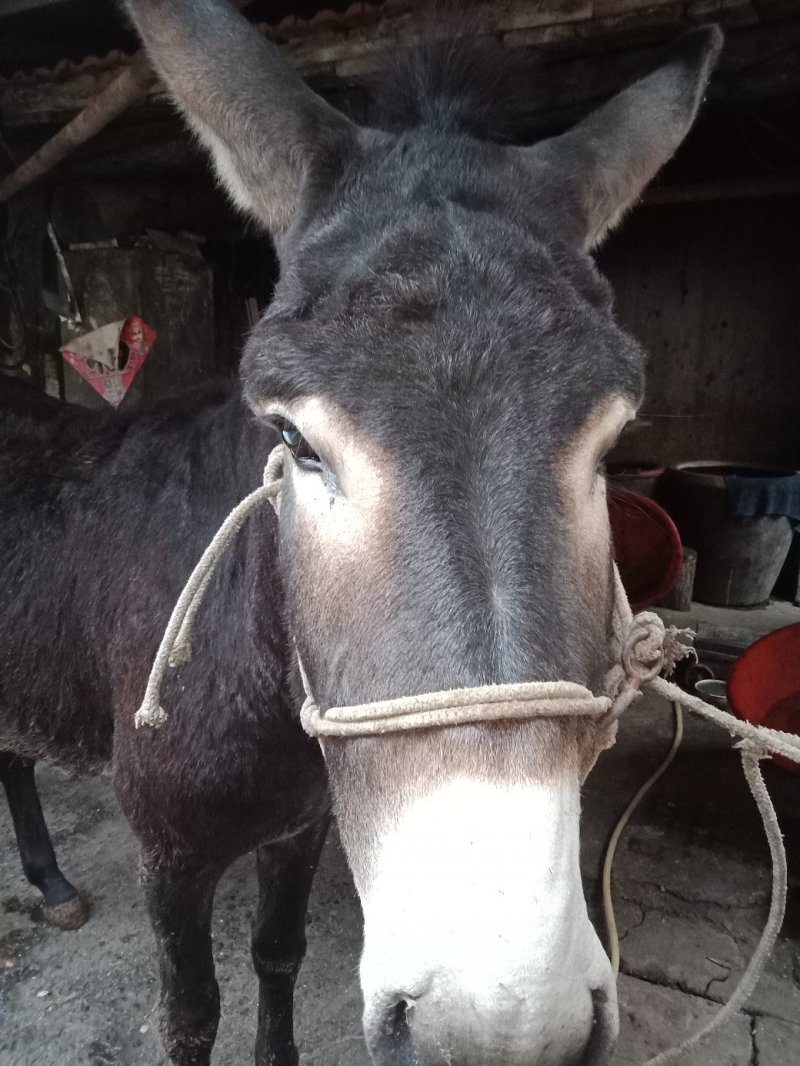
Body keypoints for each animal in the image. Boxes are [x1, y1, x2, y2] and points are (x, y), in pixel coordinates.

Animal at [0, 1, 722, 1062]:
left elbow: (279, 955)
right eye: (293, 439)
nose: (501, 1032)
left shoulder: (303, 824)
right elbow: (190, 1015)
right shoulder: (169, 854)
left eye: (612, 440)